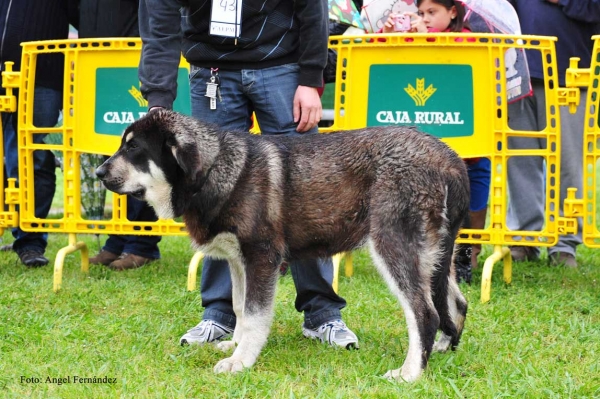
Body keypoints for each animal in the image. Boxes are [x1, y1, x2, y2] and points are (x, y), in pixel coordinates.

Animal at [96, 110, 472, 384]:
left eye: (134, 149)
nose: (99, 172)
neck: (217, 169)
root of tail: (451, 160)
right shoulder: (239, 262)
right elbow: (241, 309)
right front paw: (235, 346)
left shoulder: (262, 257)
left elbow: (255, 315)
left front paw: (240, 361)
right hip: (436, 258)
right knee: (456, 303)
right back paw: (443, 347)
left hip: (394, 246)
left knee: (424, 313)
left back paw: (410, 373)